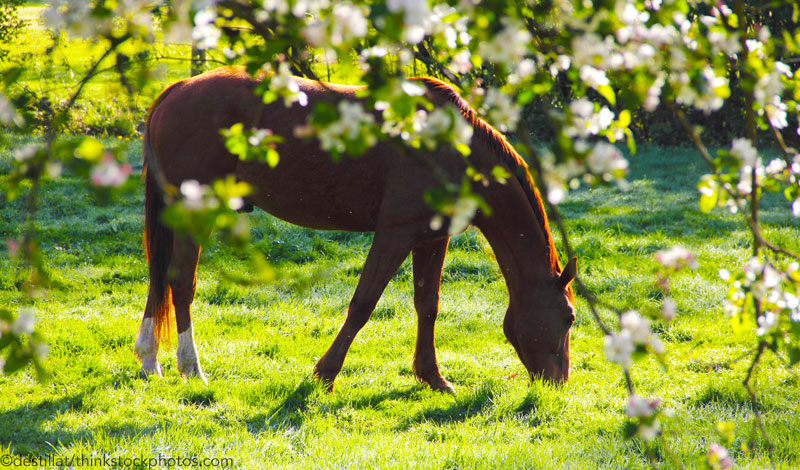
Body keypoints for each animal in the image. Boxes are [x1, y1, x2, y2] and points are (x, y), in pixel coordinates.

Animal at [138, 64, 576, 392]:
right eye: (570, 317)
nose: (557, 383)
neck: (450, 148)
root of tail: (175, 90)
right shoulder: (395, 233)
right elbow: (363, 303)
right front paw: (325, 374)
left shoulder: (431, 239)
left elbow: (427, 305)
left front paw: (432, 378)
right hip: (195, 210)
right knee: (181, 280)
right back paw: (191, 368)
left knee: (160, 280)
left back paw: (149, 360)